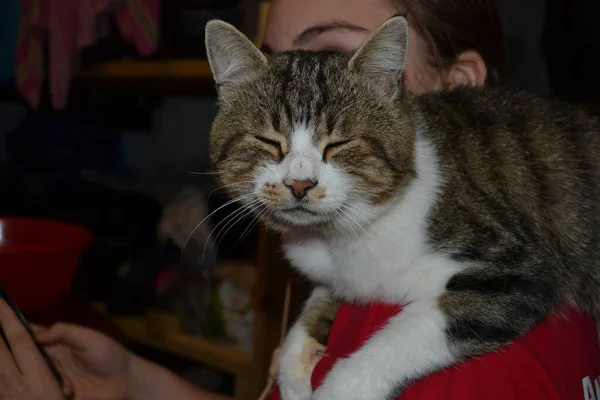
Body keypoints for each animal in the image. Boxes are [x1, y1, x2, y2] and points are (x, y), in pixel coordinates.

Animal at [204, 15, 600, 400]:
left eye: (339, 144)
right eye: (268, 141)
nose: (299, 184)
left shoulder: (517, 269)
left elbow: (409, 332)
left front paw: (336, 386)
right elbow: (322, 296)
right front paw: (294, 362)